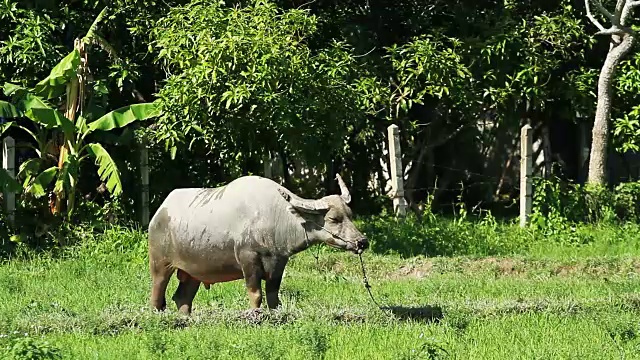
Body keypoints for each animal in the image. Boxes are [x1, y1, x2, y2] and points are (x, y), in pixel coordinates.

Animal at [145, 174, 364, 312]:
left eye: (350, 215)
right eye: (334, 219)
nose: (362, 242)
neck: (274, 217)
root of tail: (159, 212)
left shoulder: (278, 263)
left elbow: (274, 297)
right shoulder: (248, 261)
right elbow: (256, 294)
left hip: (193, 272)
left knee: (182, 298)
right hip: (159, 265)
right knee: (156, 296)